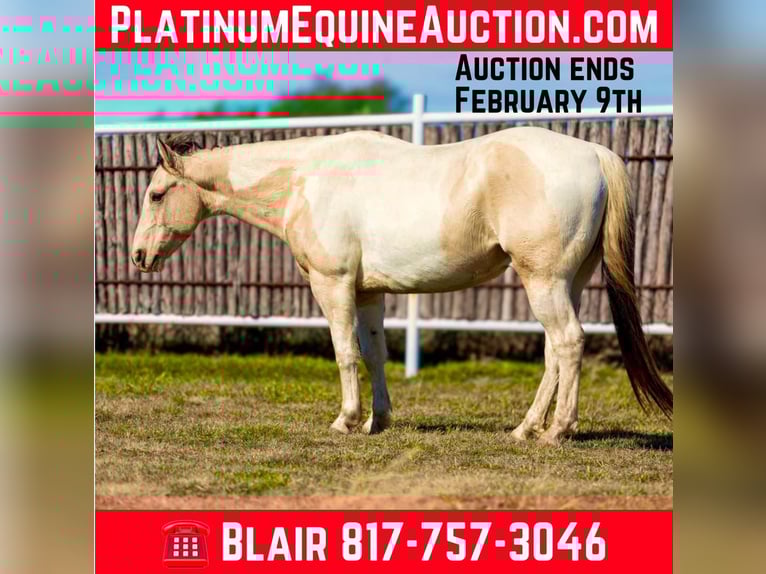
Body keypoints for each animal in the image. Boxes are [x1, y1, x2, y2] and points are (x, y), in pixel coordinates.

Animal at [131, 127, 672, 444]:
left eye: (156, 195)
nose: (138, 256)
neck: (306, 179)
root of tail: (595, 153)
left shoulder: (333, 286)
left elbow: (345, 353)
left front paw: (346, 420)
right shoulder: (369, 293)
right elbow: (374, 354)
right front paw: (379, 420)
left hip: (544, 282)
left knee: (569, 343)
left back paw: (556, 431)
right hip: (566, 283)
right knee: (555, 353)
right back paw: (525, 428)